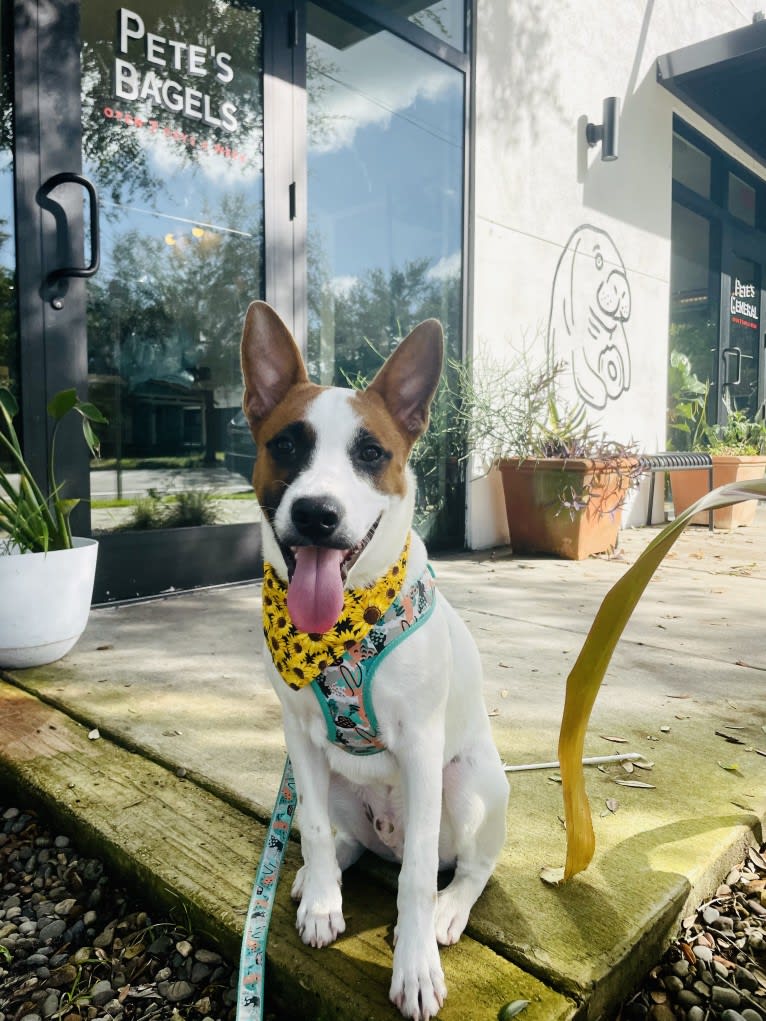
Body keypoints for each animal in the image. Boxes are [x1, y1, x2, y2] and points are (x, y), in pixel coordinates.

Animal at [241, 300, 510, 1021]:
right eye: (286, 445)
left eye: (370, 453)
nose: (315, 513)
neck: (341, 629)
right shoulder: (299, 736)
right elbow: (306, 820)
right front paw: (322, 902)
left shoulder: (420, 745)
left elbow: (415, 876)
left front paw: (413, 967)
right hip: (338, 781)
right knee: (343, 837)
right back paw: (319, 874)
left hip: (471, 785)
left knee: (466, 866)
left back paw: (447, 909)